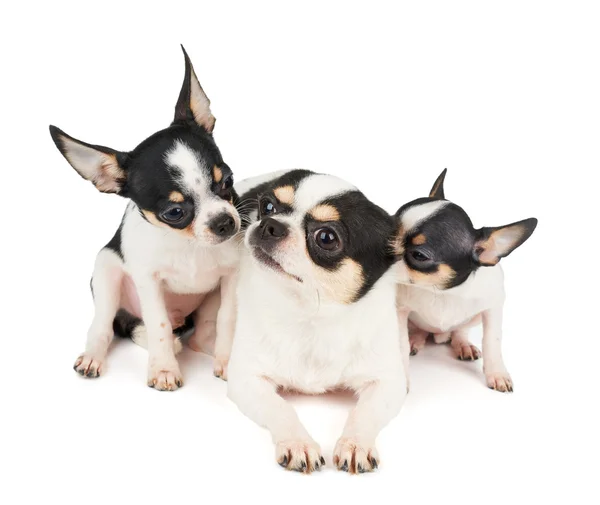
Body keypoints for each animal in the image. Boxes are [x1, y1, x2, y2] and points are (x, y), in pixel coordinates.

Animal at [48, 46, 241, 390]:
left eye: (228, 181)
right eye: (174, 213)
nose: (225, 222)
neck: (189, 245)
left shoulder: (230, 278)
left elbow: (227, 320)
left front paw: (227, 362)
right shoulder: (149, 282)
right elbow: (158, 324)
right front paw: (164, 369)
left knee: (201, 329)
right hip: (106, 273)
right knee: (106, 325)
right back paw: (93, 356)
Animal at [227, 169, 410, 472]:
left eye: (326, 237)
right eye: (267, 207)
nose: (270, 224)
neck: (310, 315)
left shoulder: (388, 384)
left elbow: (364, 412)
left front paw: (355, 444)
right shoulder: (246, 380)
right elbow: (281, 408)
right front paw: (298, 444)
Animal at [392, 168, 536, 390]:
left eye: (419, 255)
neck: (440, 291)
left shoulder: (492, 309)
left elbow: (492, 341)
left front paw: (497, 373)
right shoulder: (399, 311)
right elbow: (400, 346)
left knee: (460, 330)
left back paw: (463, 344)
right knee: (418, 331)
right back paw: (416, 340)